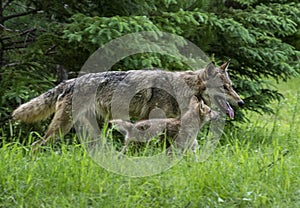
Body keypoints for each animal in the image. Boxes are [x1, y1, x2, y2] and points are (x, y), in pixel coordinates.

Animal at [12, 61, 245, 147]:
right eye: (225, 87)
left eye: (231, 86)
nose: (241, 102)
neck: (184, 88)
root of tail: (68, 82)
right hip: (62, 128)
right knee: (36, 145)